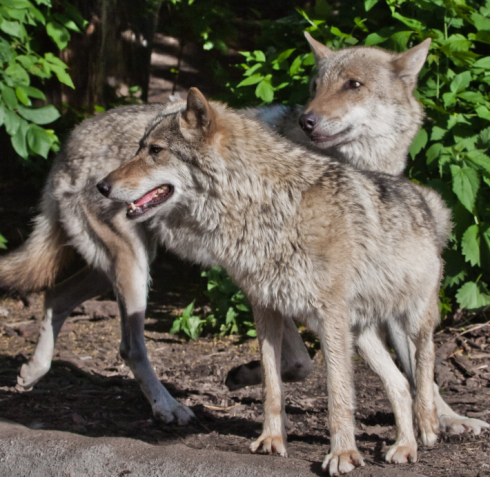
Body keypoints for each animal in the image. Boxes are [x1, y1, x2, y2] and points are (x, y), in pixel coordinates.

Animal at [97, 89, 450, 472]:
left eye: (156, 150)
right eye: (139, 147)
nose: (102, 186)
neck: (266, 207)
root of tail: (423, 197)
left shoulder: (329, 317)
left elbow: (338, 394)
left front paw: (342, 453)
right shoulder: (266, 309)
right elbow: (272, 385)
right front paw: (271, 440)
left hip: (410, 321)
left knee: (424, 366)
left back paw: (428, 428)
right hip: (361, 335)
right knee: (399, 384)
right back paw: (404, 446)